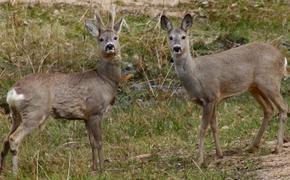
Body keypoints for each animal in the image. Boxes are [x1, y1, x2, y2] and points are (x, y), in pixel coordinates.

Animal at [0, 10, 123, 174]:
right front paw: (102, 169)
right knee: (14, 138)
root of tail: (13, 92)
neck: (105, 80)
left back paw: (2, 170)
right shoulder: (95, 111)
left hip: (16, 114)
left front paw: (94, 168)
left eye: (116, 37)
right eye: (101, 39)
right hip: (35, 111)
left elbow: (91, 142)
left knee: (6, 139)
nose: (110, 46)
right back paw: (15, 172)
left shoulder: (86, 116)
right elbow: (99, 142)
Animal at [161, 13, 288, 166]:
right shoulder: (214, 100)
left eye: (184, 36)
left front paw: (200, 160)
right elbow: (214, 126)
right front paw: (219, 154)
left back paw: (277, 147)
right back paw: (252, 147)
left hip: (270, 82)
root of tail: (283, 57)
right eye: (170, 37)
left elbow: (202, 129)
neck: (195, 74)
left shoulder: (210, 97)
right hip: (254, 87)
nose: (177, 48)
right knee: (269, 109)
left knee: (283, 107)